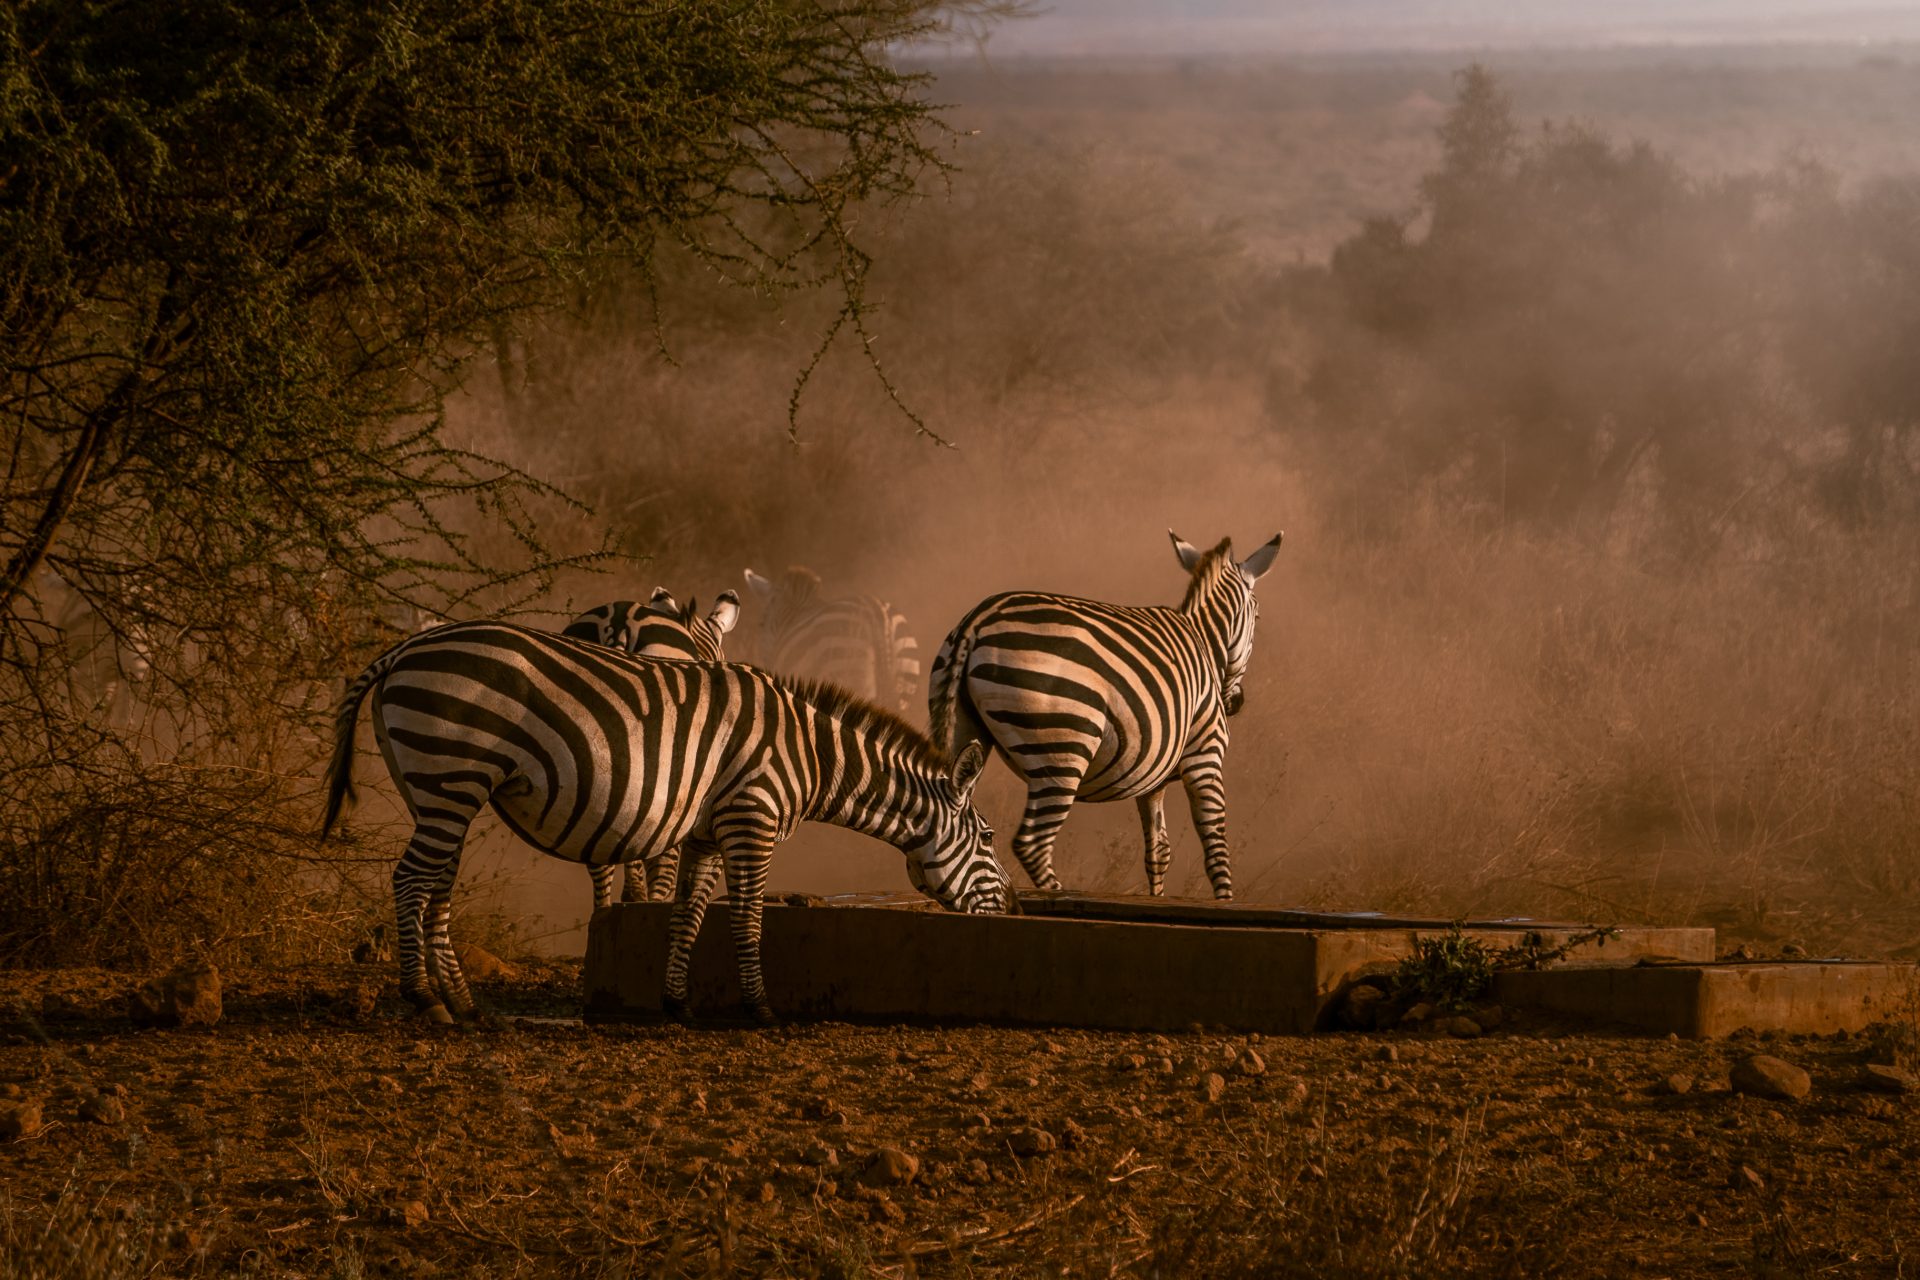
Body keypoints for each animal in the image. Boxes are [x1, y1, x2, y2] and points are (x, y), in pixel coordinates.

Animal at [925, 529, 1282, 901]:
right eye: (1257, 617)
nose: (1236, 702)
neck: (1205, 642)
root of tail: (977, 620)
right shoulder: (1206, 756)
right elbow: (1216, 848)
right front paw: (1224, 902)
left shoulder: (1152, 779)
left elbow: (1159, 851)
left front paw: (1156, 898)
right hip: (1063, 747)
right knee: (1032, 843)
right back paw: (1060, 895)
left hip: (963, 733)